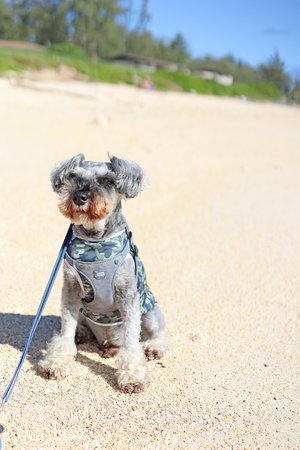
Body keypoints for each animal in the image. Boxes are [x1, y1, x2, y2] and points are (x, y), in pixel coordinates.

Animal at [37, 153, 168, 392]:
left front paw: (133, 377)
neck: (94, 241)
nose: (79, 197)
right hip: (83, 310)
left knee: (157, 334)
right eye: (73, 176)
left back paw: (153, 347)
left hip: (150, 310)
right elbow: (65, 330)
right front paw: (56, 362)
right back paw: (81, 333)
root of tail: (109, 343)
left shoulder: (128, 296)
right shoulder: (70, 290)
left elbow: (132, 342)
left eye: (107, 180)